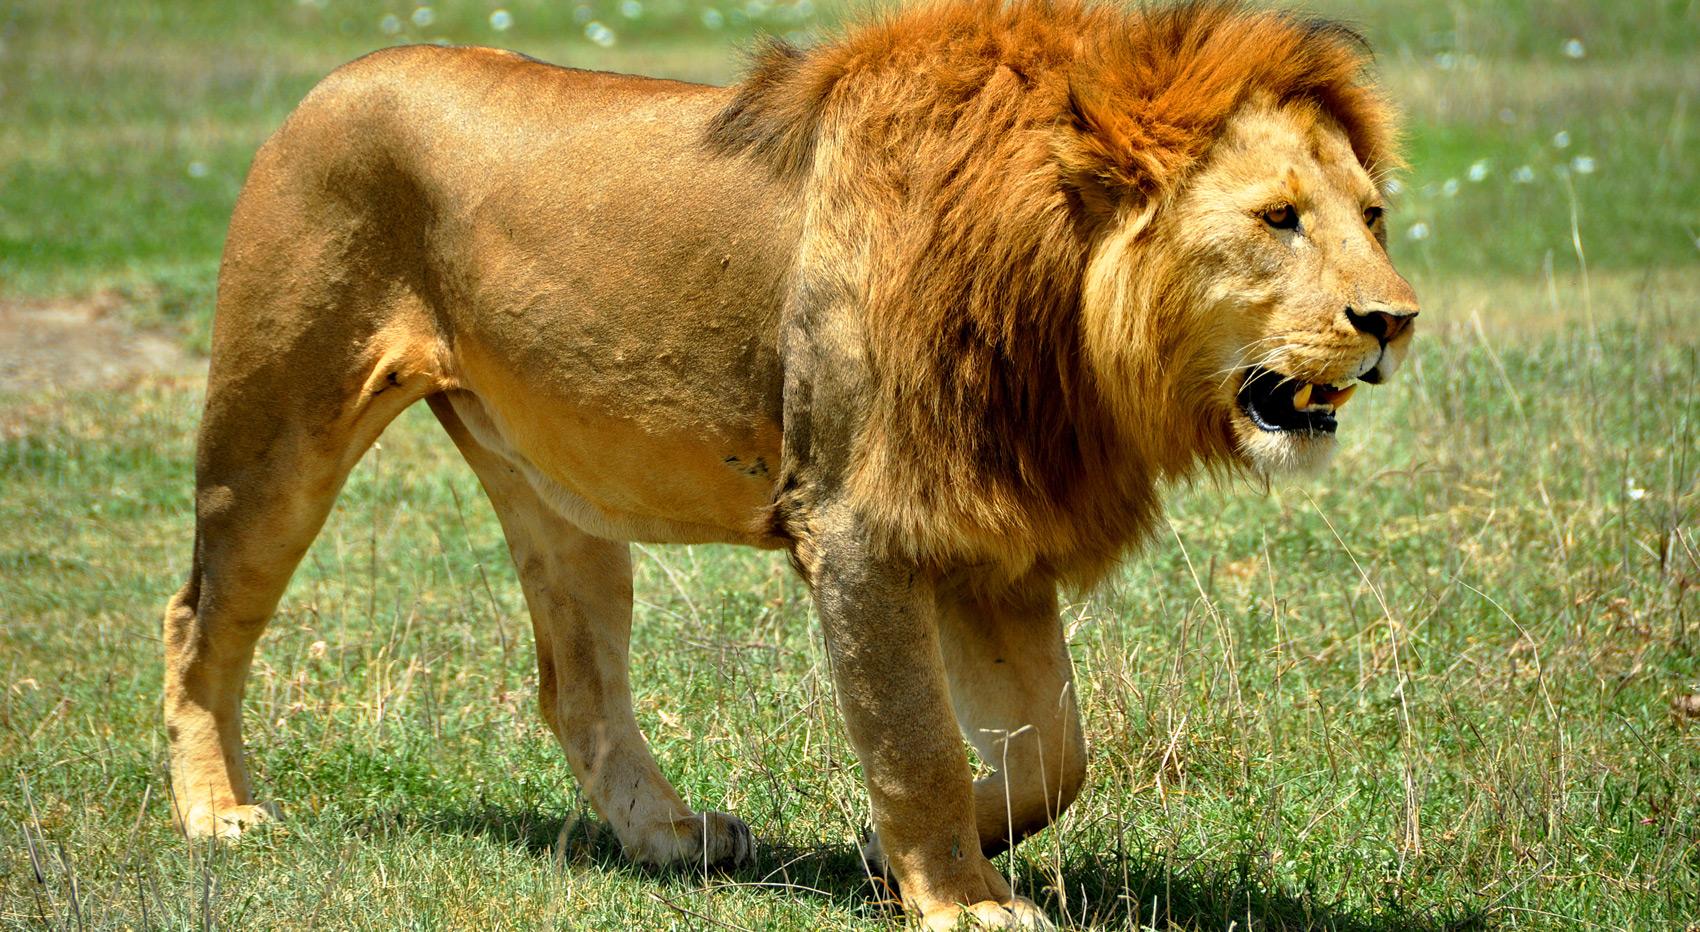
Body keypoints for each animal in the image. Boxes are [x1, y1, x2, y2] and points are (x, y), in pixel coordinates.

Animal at [161, 1, 1416, 927]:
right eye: (1276, 218)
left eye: (1369, 213)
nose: (1393, 319)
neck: (1056, 304)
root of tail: (340, 75)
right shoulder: (860, 526)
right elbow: (916, 738)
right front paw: (962, 898)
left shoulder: (989, 535)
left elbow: (1054, 751)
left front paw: (881, 849)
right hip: (278, 424)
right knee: (198, 619)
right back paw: (217, 815)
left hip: (555, 482)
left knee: (577, 683)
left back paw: (667, 834)